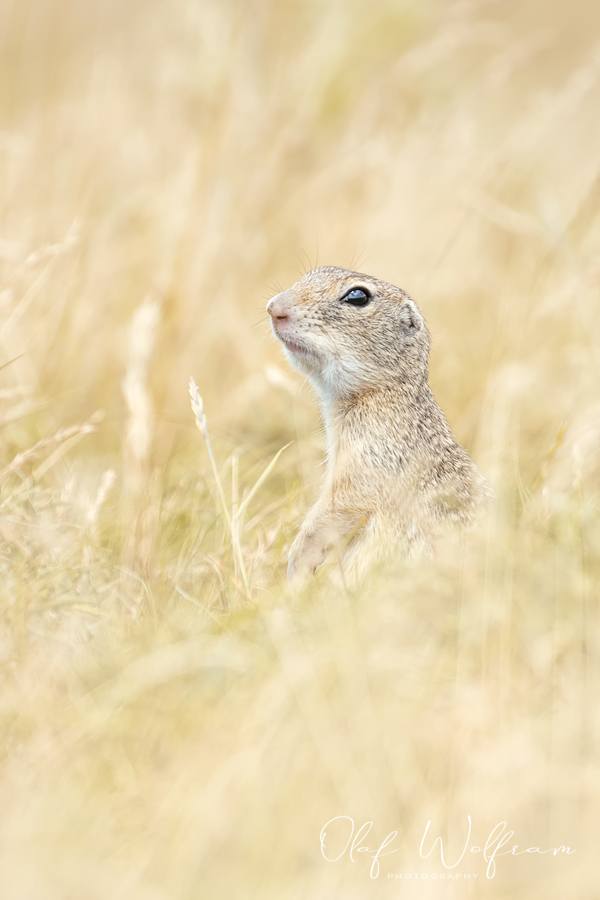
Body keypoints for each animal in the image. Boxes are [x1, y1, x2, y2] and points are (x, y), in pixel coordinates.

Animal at [268, 266, 492, 584]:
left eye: (357, 296)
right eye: (312, 272)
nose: (273, 308)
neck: (383, 393)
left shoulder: (372, 458)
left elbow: (338, 509)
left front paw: (296, 569)